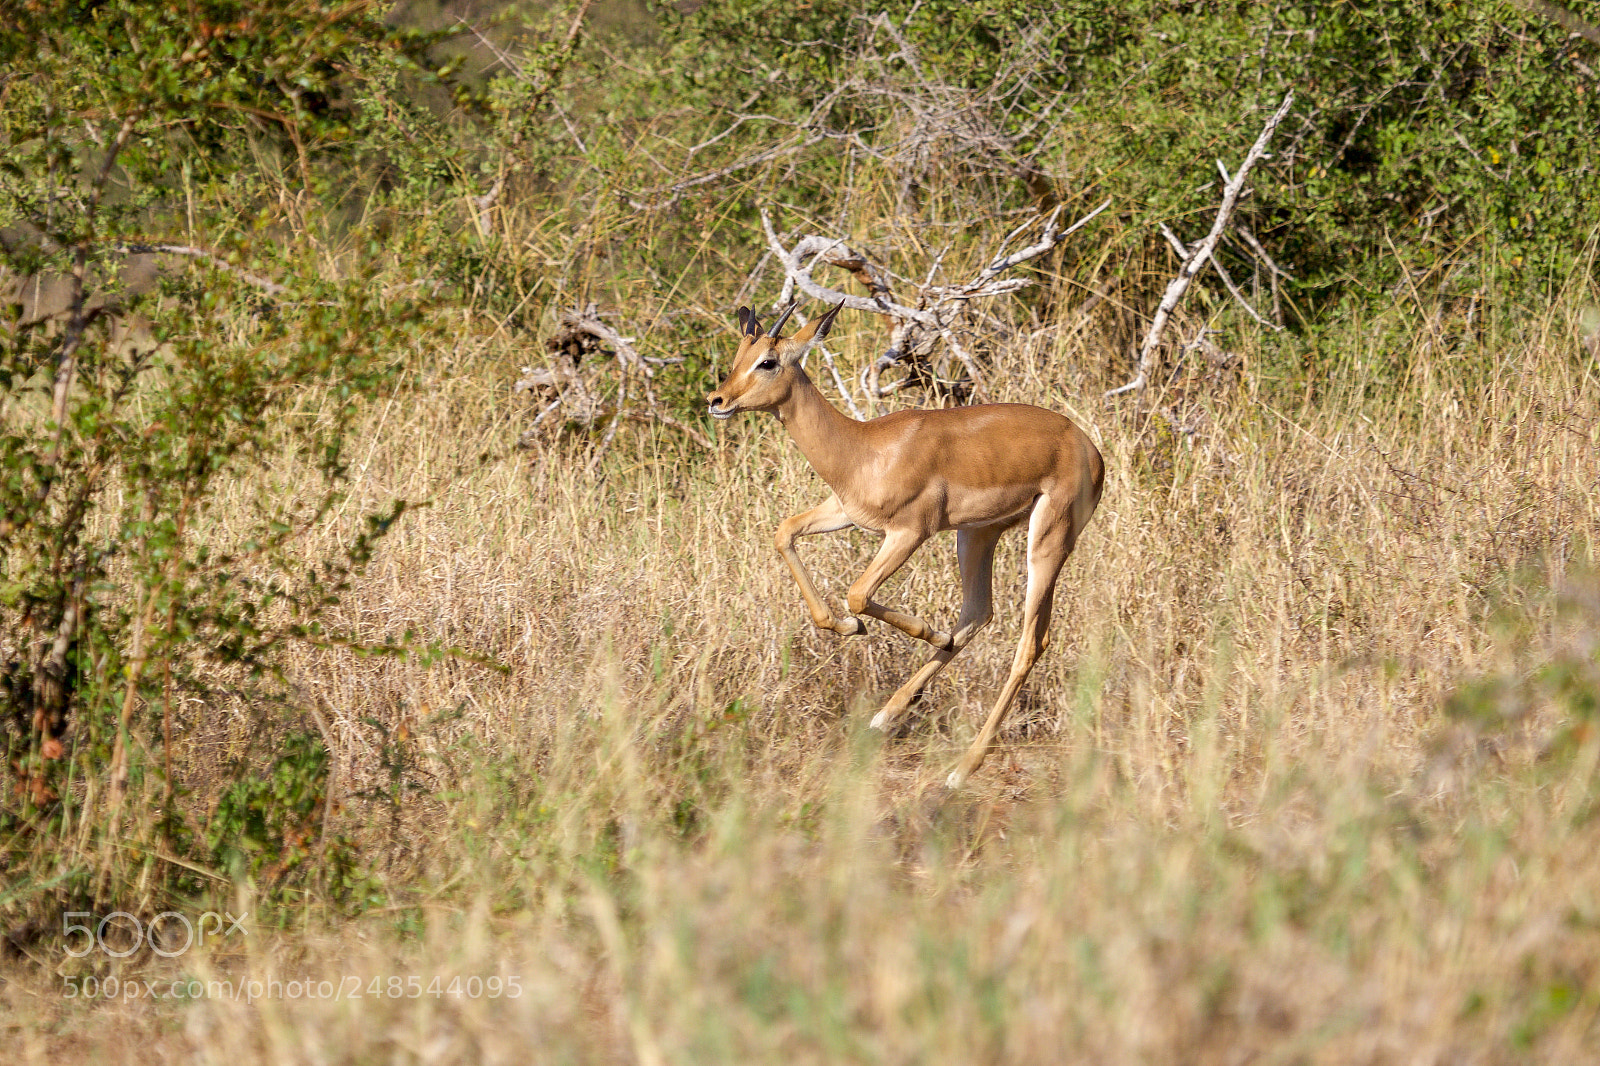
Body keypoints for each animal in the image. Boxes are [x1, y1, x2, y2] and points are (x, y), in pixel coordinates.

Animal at [708, 300, 1104, 788]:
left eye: (768, 361)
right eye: (738, 356)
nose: (717, 401)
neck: (861, 449)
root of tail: (1091, 449)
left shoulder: (909, 533)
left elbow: (858, 594)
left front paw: (904, 628)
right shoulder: (843, 512)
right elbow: (784, 532)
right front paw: (849, 628)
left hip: (1048, 539)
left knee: (1032, 641)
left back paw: (961, 769)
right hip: (977, 533)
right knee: (979, 612)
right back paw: (887, 715)